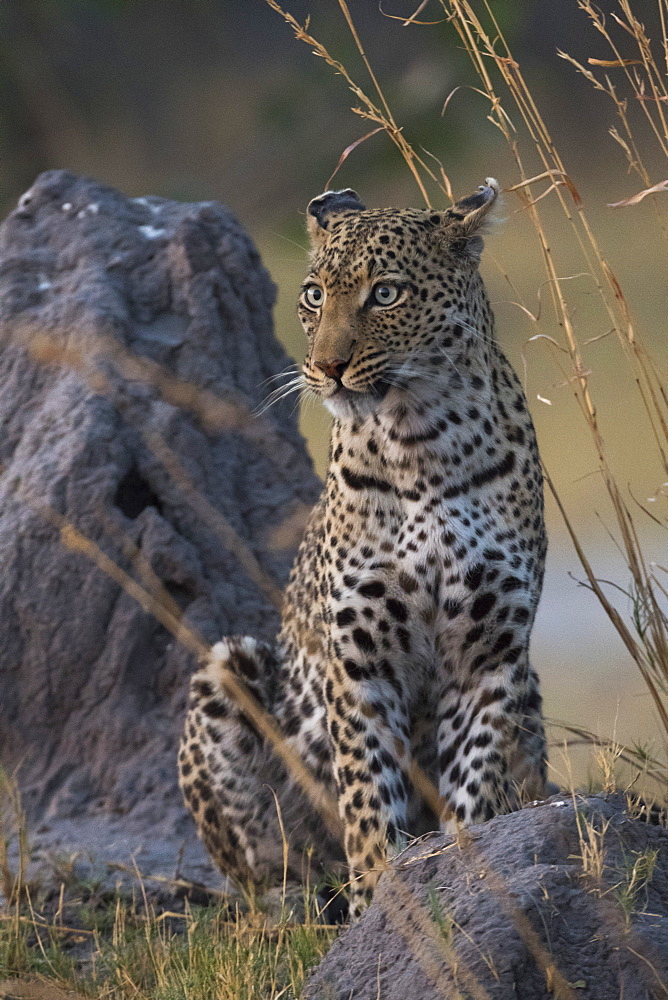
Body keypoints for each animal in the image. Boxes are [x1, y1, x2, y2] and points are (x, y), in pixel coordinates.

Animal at [179, 178, 548, 916]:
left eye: (386, 294)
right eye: (313, 294)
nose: (327, 367)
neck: (421, 443)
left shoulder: (492, 655)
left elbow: (475, 774)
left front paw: (466, 866)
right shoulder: (359, 662)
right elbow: (368, 790)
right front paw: (382, 891)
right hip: (226, 670)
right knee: (266, 875)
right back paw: (294, 907)